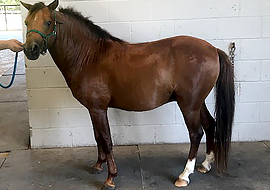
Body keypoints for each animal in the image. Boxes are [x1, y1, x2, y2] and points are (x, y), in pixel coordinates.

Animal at [22, 0, 235, 189]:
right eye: (26, 22)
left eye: (48, 22)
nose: (30, 50)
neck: (90, 56)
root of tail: (213, 49)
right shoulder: (93, 109)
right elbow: (98, 137)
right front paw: (98, 165)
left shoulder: (98, 109)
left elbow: (106, 139)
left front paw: (110, 178)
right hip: (198, 103)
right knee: (210, 124)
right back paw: (205, 164)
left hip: (189, 105)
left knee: (196, 133)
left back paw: (184, 175)